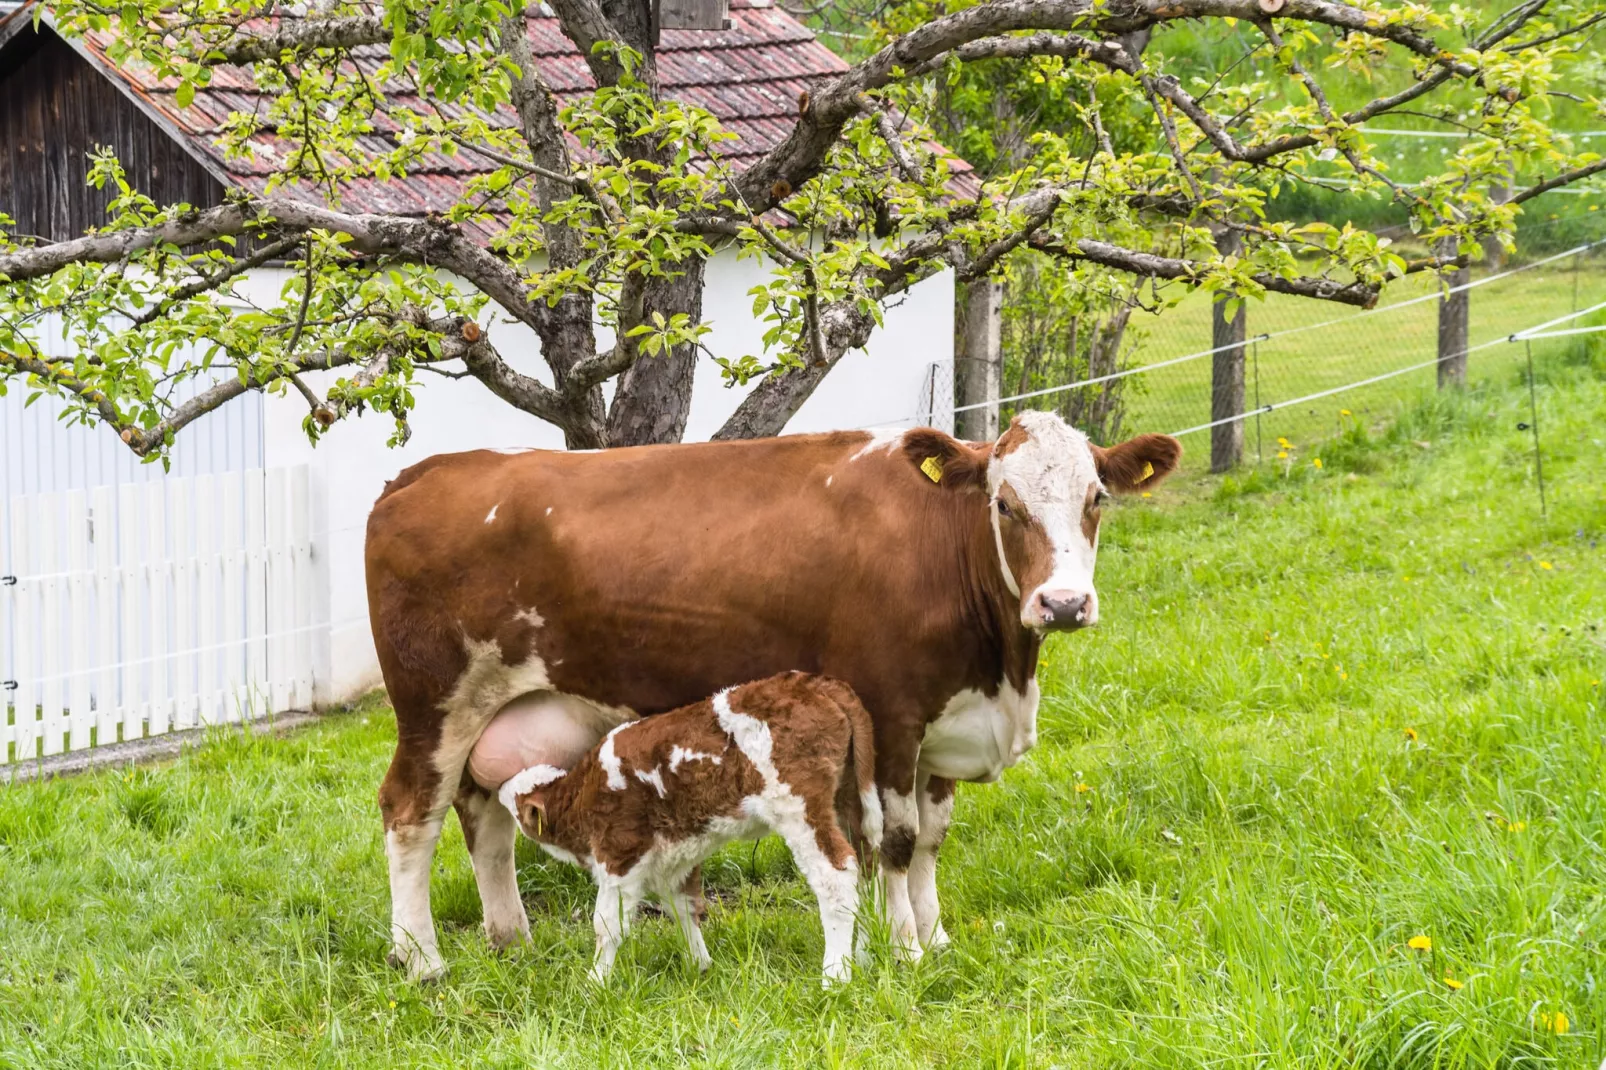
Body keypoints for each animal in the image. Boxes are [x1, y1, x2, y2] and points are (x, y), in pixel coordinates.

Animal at [497, 674, 880, 983]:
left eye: (518, 802)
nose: (500, 787)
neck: (584, 795)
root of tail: (814, 683)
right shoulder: (673, 859)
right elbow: (684, 907)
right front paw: (700, 966)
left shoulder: (620, 852)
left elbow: (607, 925)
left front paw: (595, 983)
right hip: (849, 800)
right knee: (867, 870)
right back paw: (863, 957)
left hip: (798, 805)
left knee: (837, 876)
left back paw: (836, 975)